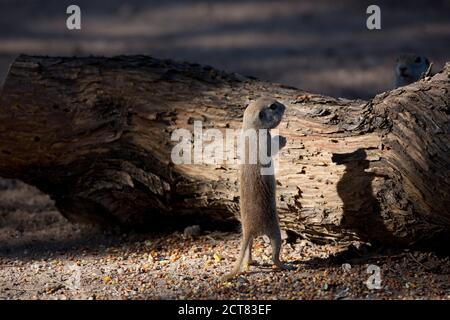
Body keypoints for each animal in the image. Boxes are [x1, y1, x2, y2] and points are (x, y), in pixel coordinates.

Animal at [221, 97, 288, 280]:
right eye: (273, 106)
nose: (285, 106)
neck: (251, 130)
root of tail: (250, 229)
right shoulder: (265, 142)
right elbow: (272, 147)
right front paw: (283, 139)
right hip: (275, 231)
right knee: (274, 255)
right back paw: (284, 265)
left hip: (249, 236)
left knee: (249, 250)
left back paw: (249, 262)